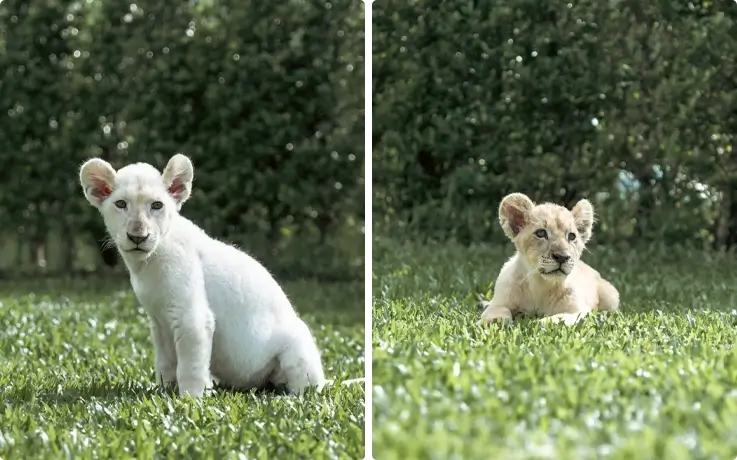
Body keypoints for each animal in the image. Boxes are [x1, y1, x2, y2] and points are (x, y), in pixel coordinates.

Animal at [478, 193, 619, 326]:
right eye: (541, 233)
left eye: (572, 236)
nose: (562, 257)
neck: (540, 284)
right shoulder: (500, 301)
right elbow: (496, 310)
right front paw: (493, 321)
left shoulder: (579, 311)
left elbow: (559, 318)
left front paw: (539, 323)